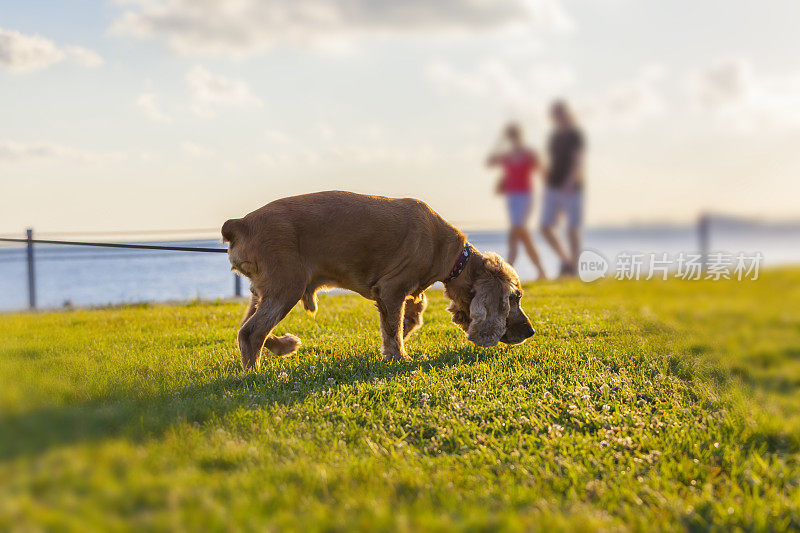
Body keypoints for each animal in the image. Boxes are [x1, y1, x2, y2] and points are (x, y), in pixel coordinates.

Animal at [222, 191, 536, 370]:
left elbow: (406, 320)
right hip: (287, 285)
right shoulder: (391, 289)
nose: (531, 332)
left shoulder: (402, 294)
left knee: (246, 327)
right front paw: (400, 359)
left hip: (263, 289)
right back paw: (254, 375)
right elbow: (394, 329)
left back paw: (282, 346)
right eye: (514, 298)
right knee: (251, 332)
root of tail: (240, 223)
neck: (453, 255)